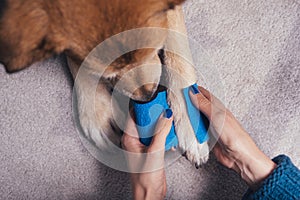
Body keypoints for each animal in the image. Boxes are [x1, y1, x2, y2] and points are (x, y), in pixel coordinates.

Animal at [0, 0, 209, 166]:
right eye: (110, 76)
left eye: (154, 50)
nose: (148, 96)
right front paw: (98, 114)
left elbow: (177, 47)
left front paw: (190, 120)